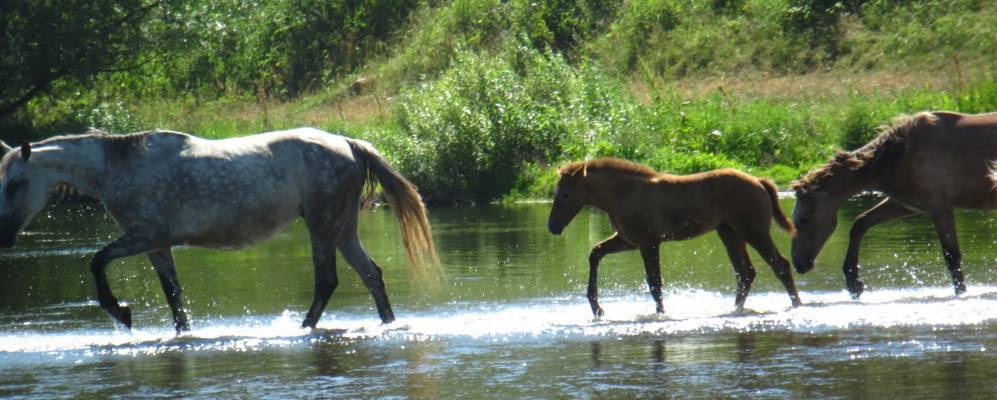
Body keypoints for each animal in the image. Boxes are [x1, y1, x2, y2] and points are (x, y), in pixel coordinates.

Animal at [0, 128, 436, 332]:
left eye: (16, 182)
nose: (5, 235)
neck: (118, 168)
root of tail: (347, 143)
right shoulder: (157, 246)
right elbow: (174, 296)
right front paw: (182, 334)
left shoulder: (145, 236)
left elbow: (97, 261)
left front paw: (120, 312)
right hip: (343, 229)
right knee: (371, 275)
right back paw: (388, 324)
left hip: (323, 225)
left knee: (327, 281)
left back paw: (300, 329)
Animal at [548, 158, 796, 318]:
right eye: (555, 193)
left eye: (566, 194)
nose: (552, 226)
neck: (621, 196)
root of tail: (760, 182)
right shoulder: (628, 240)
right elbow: (595, 253)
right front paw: (597, 307)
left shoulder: (649, 242)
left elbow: (654, 282)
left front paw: (661, 314)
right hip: (729, 232)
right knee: (745, 272)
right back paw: (735, 309)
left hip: (753, 231)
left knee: (780, 265)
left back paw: (797, 304)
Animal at [792, 111, 996, 298]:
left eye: (803, 219)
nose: (798, 263)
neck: (895, 159)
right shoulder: (906, 204)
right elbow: (860, 223)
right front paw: (854, 283)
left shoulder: (939, 206)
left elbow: (952, 256)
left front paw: (961, 293)